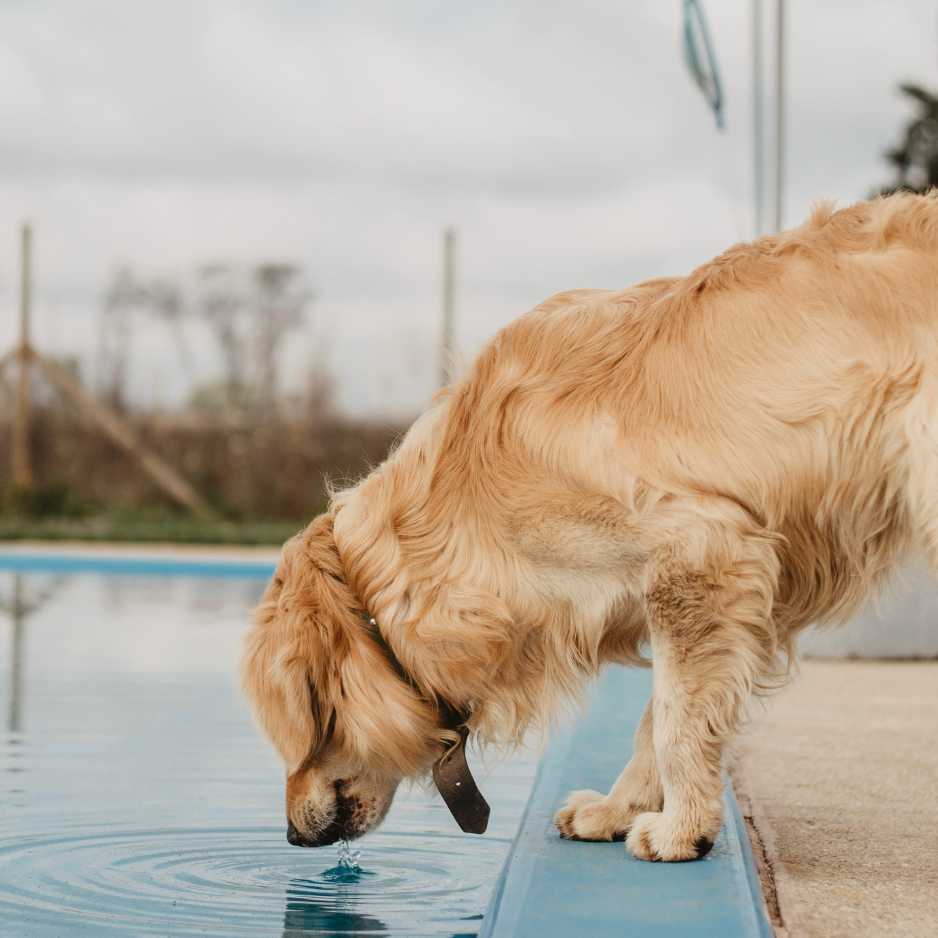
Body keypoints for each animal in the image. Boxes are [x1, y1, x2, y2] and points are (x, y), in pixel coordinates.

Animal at [241, 194, 936, 860]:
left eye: (297, 731)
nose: (291, 837)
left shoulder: (701, 556)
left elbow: (677, 717)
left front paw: (682, 829)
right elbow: (654, 719)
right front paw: (618, 809)